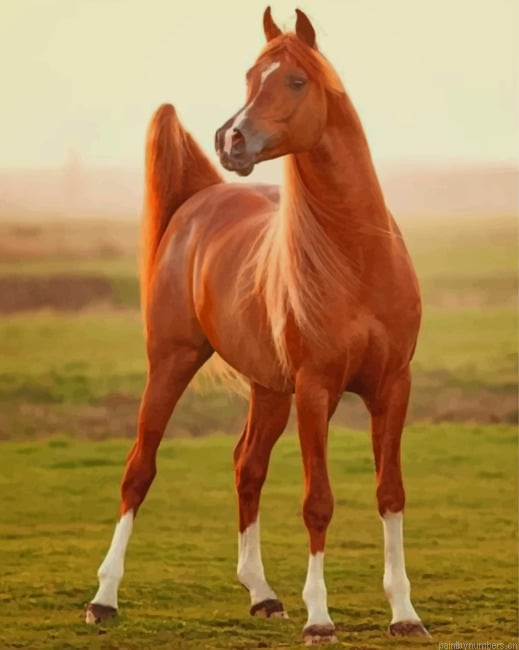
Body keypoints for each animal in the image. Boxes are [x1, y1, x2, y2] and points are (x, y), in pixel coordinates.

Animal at [85, 7, 429, 644]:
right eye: (250, 75)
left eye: (295, 80)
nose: (230, 139)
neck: (356, 257)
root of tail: (200, 200)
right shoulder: (316, 391)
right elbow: (318, 502)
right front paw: (320, 619)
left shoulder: (393, 386)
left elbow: (389, 492)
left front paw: (404, 613)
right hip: (170, 364)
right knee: (138, 471)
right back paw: (104, 599)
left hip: (269, 391)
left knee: (248, 467)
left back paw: (262, 593)